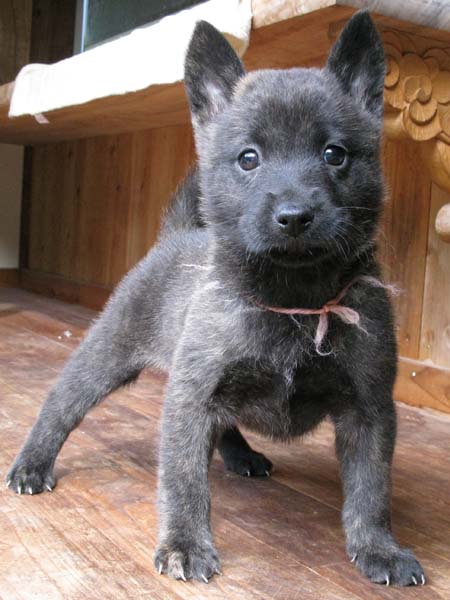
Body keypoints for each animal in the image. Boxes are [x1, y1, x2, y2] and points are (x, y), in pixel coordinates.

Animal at [7, 11, 425, 587]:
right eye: (248, 158)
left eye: (334, 154)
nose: (294, 216)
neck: (292, 304)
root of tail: (176, 237)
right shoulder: (192, 397)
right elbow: (183, 480)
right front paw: (185, 543)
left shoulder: (369, 409)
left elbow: (371, 490)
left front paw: (379, 548)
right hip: (105, 356)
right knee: (60, 405)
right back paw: (32, 463)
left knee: (225, 426)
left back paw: (241, 454)